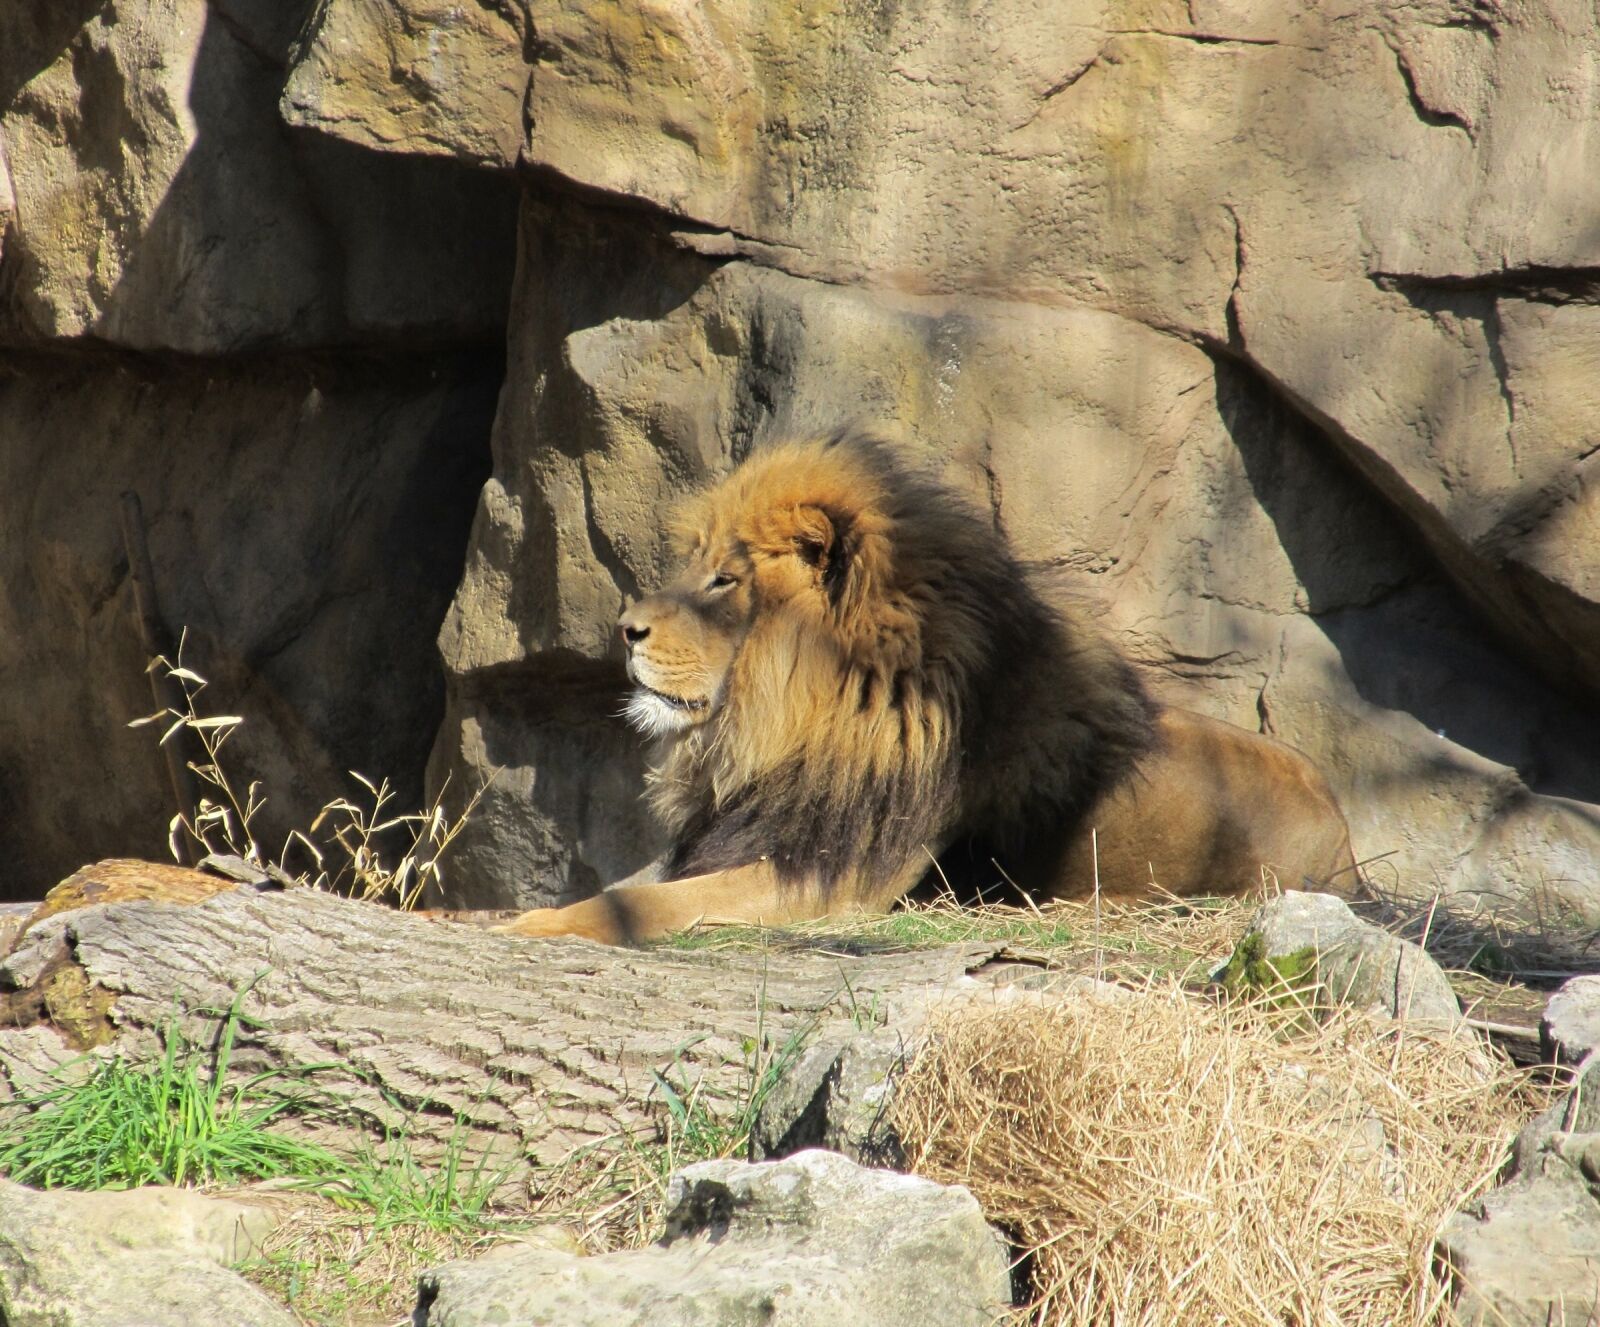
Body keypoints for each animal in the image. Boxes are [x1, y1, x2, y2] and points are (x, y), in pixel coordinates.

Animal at [503, 434, 1357, 944]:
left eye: (723, 579)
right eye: (698, 563)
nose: (624, 628)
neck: (792, 728)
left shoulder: (832, 882)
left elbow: (642, 903)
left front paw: (516, 930)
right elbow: (624, 888)